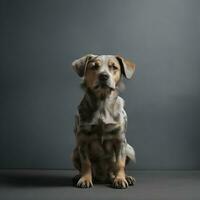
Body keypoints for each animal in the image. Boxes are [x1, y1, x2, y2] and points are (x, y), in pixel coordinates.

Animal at [71, 54, 136, 188]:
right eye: (94, 66)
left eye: (114, 67)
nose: (103, 76)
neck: (102, 103)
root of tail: (103, 177)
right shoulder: (82, 141)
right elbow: (86, 163)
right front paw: (85, 179)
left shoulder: (120, 141)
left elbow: (120, 163)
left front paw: (120, 179)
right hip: (74, 152)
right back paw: (78, 176)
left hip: (129, 149)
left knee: (116, 168)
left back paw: (124, 177)